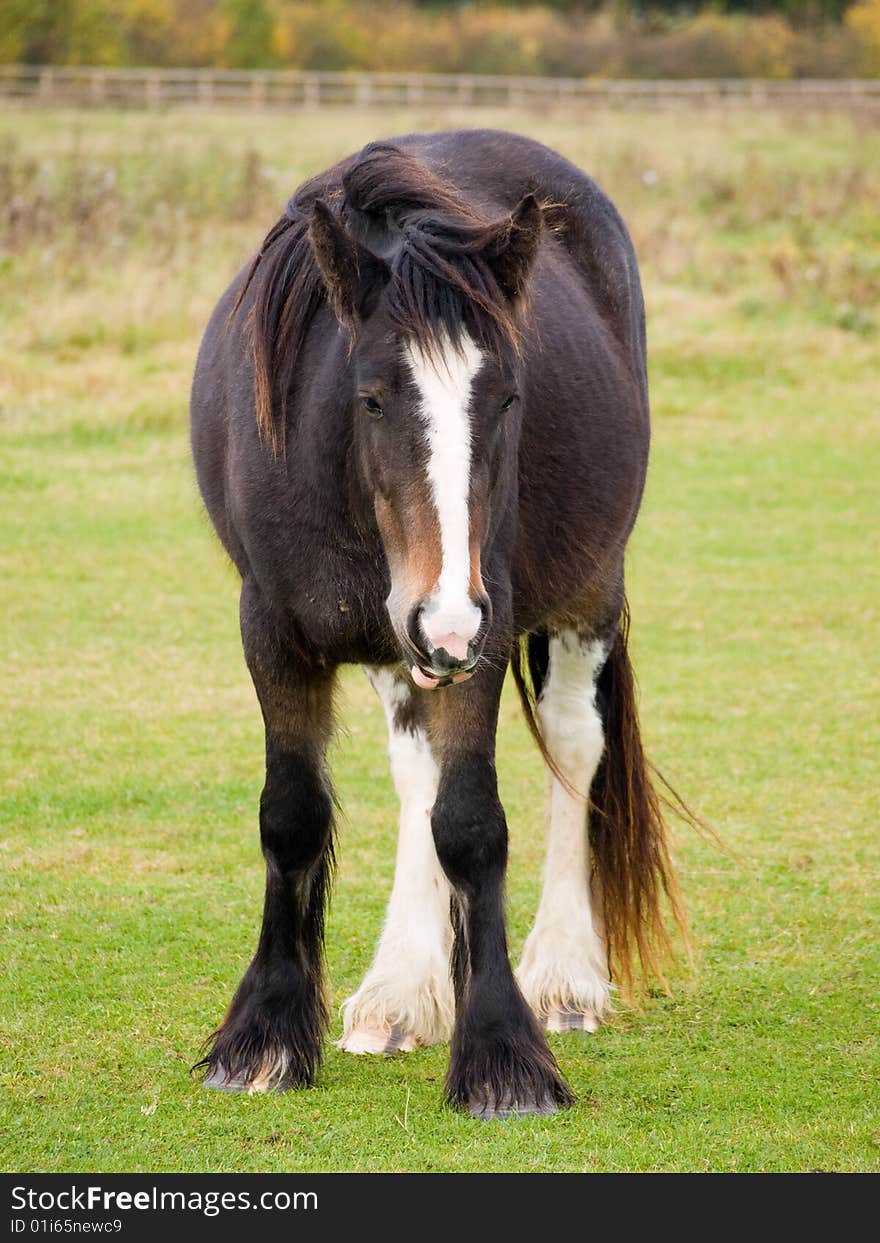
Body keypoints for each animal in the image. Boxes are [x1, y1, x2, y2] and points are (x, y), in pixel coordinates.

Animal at [190, 128, 686, 1118]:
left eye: (507, 399)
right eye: (373, 397)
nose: (444, 618)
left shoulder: (480, 635)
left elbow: (469, 825)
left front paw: (503, 1054)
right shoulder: (271, 629)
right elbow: (293, 816)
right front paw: (263, 1038)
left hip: (579, 593)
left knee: (574, 745)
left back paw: (565, 976)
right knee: (414, 769)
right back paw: (399, 993)